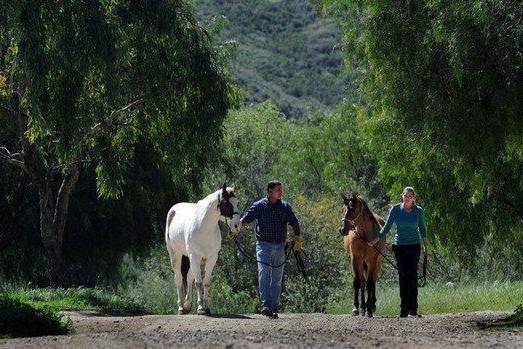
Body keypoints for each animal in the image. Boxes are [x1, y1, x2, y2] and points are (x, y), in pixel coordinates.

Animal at [165, 184, 241, 314]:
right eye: (227, 203)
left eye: (237, 203)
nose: (237, 226)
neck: (204, 227)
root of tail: (173, 210)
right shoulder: (195, 256)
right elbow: (199, 282)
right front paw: (200, 308)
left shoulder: (211, 258)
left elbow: (206, 283)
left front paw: (206, 307)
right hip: (176, 254)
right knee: (179, 278)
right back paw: (181, 307)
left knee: (189, 277)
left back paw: (187, 305)